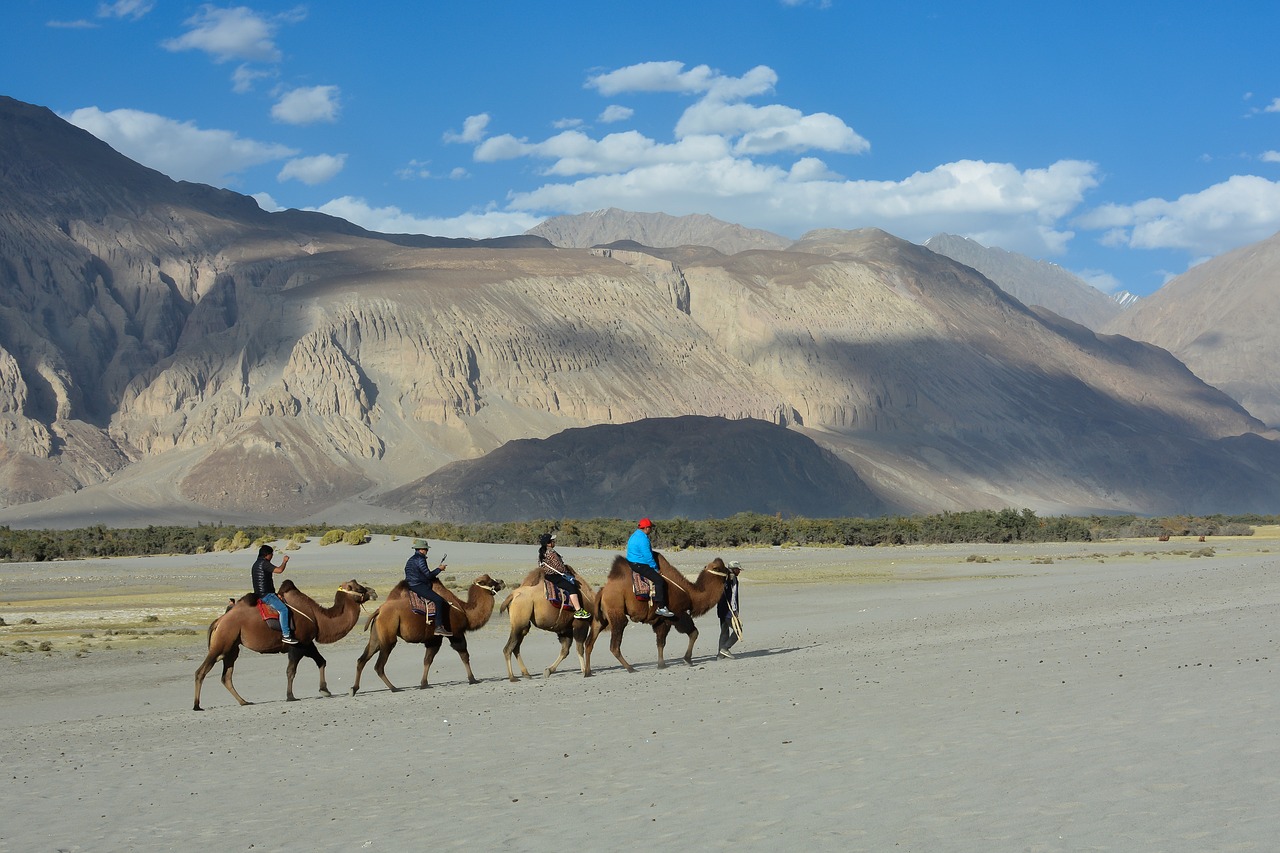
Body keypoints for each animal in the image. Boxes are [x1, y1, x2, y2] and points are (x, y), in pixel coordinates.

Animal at [192, 578, 376, 712]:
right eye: (359, 588)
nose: (373, 592)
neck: (319, 618)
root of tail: (218, 621)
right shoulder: (297, 644)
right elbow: (291, 671)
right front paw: (290, 696)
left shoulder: (307, 643)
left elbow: (321, 661)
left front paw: (325, 690)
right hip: (222, 642)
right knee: (201, 671)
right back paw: (197, 705)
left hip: (232, 647)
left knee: (226, 676)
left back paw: (244, 701)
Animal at [355, 571, 509, 691]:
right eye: (489, 581)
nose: (501, 582)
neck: (465, 611)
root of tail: (378, 611)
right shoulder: (456, 633)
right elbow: (464, 655)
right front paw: (473, 679)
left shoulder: (434, 638)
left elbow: (427, 660)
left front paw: (424, 684)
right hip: (388, 636)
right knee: (379, 665)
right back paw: (394, 688)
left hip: (376, 636)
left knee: (362, 659)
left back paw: (354, 689)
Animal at [586, 550, 732, 671]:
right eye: (720, 568)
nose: (732, 570)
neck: (691, 594)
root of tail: (603, 591)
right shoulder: (677, 614)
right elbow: (694, 633)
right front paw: (687, 659)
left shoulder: (660, 620)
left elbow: (660, 643)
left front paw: (661, 664)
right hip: (616, 611)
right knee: (614, 645)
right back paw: (630, 668)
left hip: (602, 618)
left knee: (589, 642)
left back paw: (588, 672)